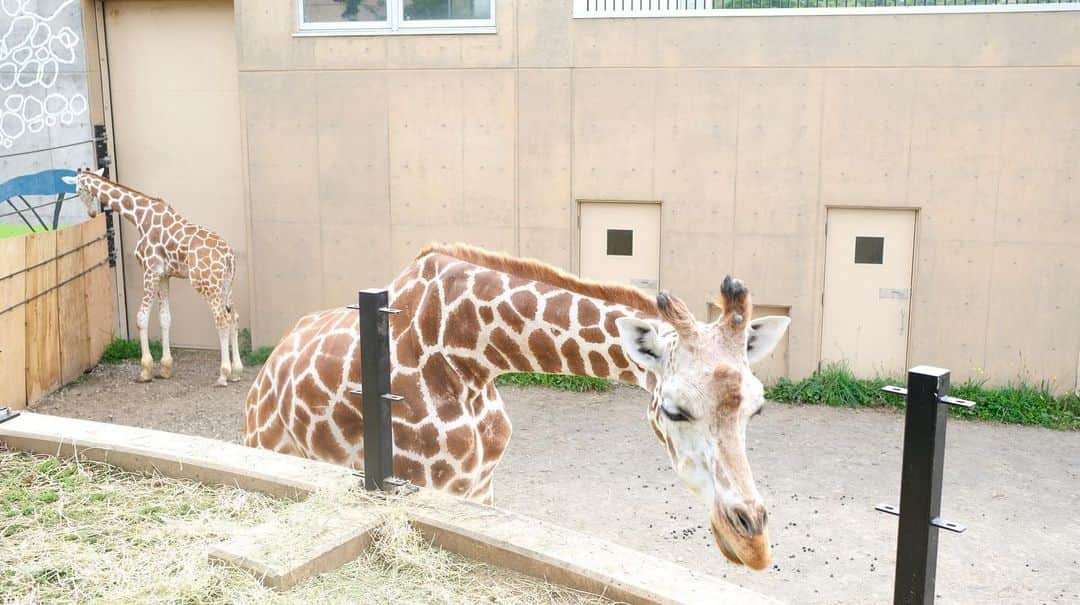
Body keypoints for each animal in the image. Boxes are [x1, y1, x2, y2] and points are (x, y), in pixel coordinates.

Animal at [63, 168, 243, 386]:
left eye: (78, 190)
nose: (91, 214)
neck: (139, 216)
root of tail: (228, 256)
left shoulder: (150, 270)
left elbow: (141, 317)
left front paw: (146, 370)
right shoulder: (164, 275)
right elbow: (165, 318)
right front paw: (165, 368)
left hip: (206, 284)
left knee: (222, 320)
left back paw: (223, 374)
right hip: (226, 285)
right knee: (233, 317)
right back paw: (236, 371)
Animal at [243, 243, 786, 570]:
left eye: (756, 410)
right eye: (674, 411)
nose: (753, 544)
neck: (465, 354)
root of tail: (266, 372)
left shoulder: (480, 486)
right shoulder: (420, 485)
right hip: (266, 444)